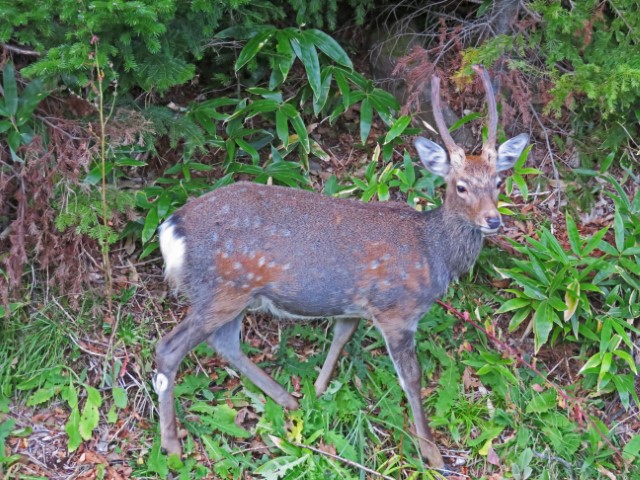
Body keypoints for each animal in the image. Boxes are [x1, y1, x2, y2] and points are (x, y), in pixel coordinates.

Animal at [152, 64, 528, 468]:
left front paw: (317, 391)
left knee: (225, 343)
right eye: (460, 186)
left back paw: (287, 399)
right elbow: (411, 378)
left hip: (233, 293)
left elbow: (341, 336)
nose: (493, 220)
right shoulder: (396, 310)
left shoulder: (354, 305)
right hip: (221, 289)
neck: (434, 253)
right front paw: (431, 452)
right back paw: (172, 445)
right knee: (170, 348)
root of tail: (171, 229)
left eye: (498, 181)